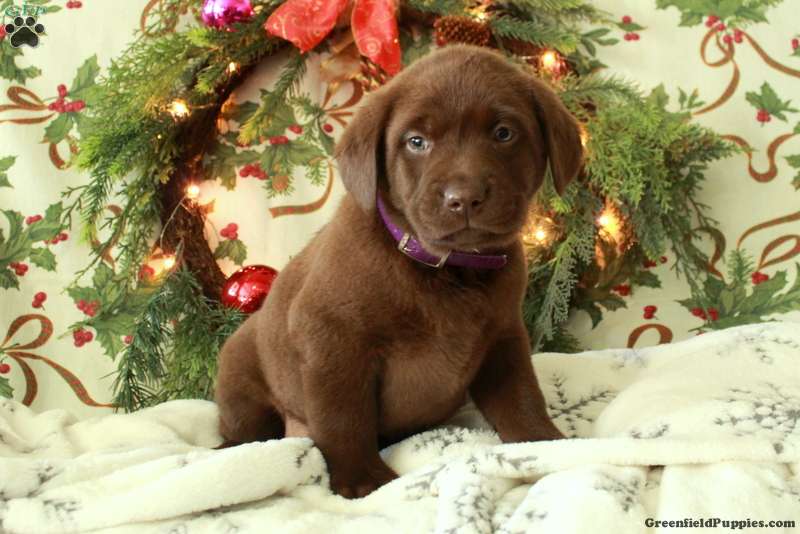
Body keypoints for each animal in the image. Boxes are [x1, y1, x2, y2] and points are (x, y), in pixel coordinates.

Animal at [215, 45, 583, 498]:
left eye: (503, 133)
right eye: (416, 142)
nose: (464, 198)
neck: (447, 269)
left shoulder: (503, 335)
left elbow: (521, 395)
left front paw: (545, 442)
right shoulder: (330, 339)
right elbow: (342, 416)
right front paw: (361, 478)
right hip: (240, 369)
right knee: (246, 430)